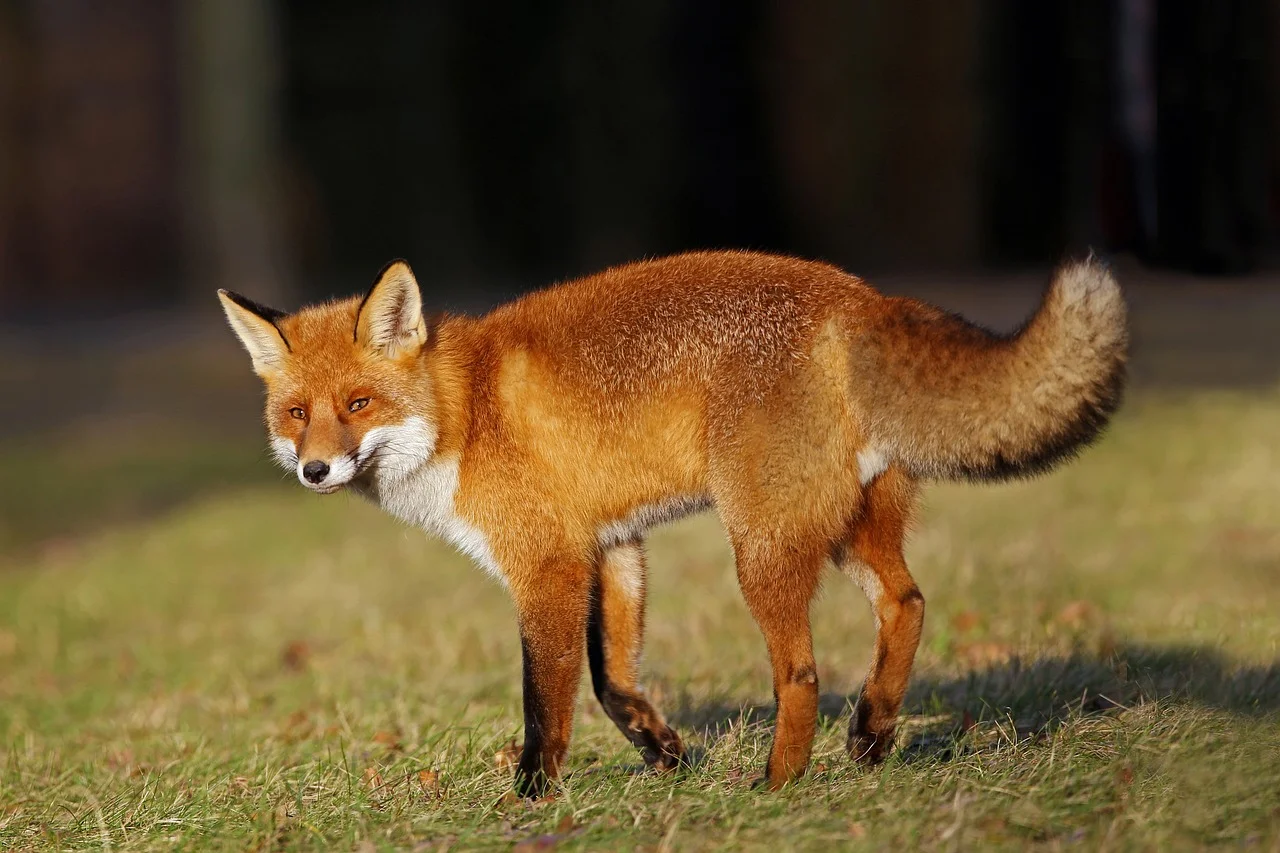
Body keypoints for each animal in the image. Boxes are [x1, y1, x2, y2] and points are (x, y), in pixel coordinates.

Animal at [222, 249, 1131, 794]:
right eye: (298, 413)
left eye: (358, 404)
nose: (313, 470)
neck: (465, 412)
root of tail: (857, 295)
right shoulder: (613, 546)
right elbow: (612, 680)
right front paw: (666, 753)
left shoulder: (547, 563)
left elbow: (545, 700)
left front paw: (531, 798)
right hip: (843, 528)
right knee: (906, 604)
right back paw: (871, 736)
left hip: (760, 546)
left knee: (801, 674)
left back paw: (777, 785)